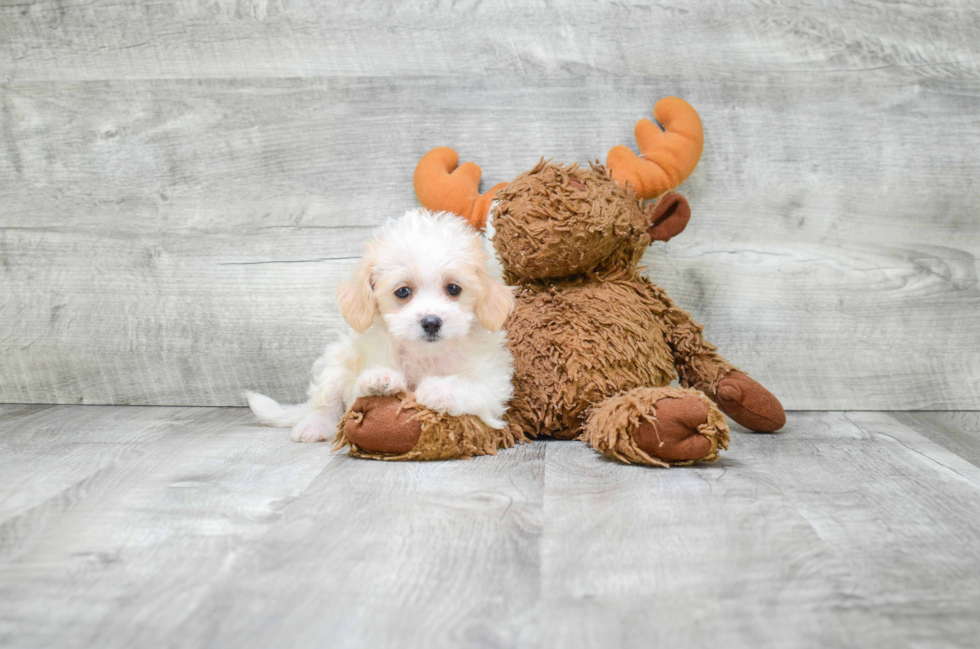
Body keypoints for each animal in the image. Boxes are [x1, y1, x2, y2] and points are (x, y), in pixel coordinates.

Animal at [247, 210, 512, 442]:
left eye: (454, 288)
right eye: (403, 292)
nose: (431, 322)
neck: (424, 355)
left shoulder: (494, 385)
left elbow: (473, 388)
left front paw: (437, 388)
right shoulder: (355, 375)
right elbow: (356, 393)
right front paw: (379, 379)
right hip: (334, 366)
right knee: (325, 405)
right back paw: (314, 426)